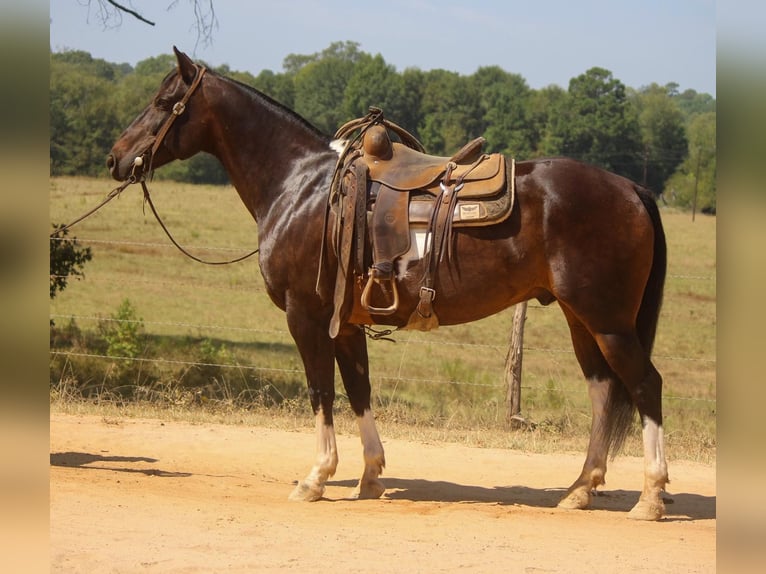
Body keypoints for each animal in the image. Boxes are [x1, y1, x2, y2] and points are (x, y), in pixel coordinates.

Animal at [108, 48, 672, 520]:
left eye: (164, 102)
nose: (115, 157)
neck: (302, 187)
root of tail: (632, 188)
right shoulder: (345, 322)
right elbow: (359, 389)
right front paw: (371, 475)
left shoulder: (305, 316)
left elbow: (320, 390)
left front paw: (317, 477)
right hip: (583, 320)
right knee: (604, 392)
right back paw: (580, 489)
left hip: (608, 321)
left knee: (645, 385)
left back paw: (650, 497)